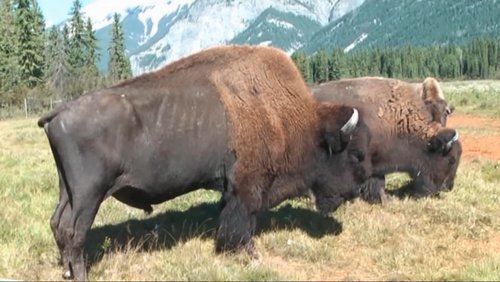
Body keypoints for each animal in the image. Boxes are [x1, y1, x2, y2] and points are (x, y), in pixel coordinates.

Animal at [38, 45, 368, 280]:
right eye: (350, 153)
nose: (356, 191)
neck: (288, 118)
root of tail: (59, 112)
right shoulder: (247, 187)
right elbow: (242, 222)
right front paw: (249, 254)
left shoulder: (234, 188)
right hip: (89, 195)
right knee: (74, 231)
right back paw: (80, 274)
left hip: (67, 190)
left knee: (57, 224)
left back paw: (66, 271)